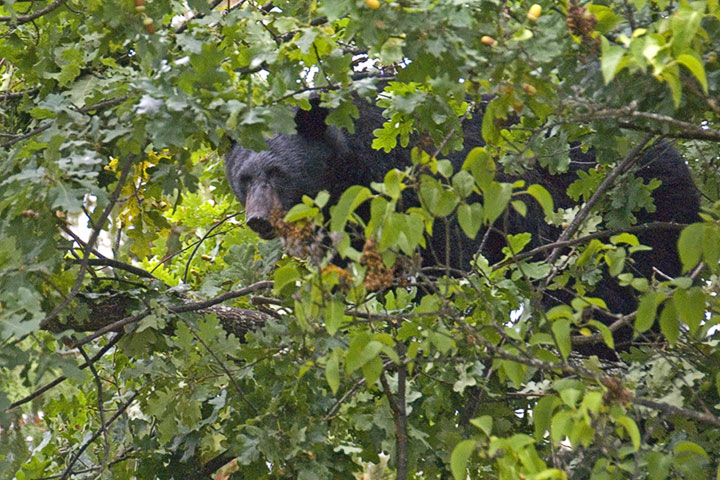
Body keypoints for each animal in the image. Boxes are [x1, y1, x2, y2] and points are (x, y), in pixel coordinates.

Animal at [224, 95, 696, 354]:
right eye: (244, 178)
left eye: (278, 173)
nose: (258, 220)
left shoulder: (434, 185)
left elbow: (446, 260)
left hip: (631, 210)